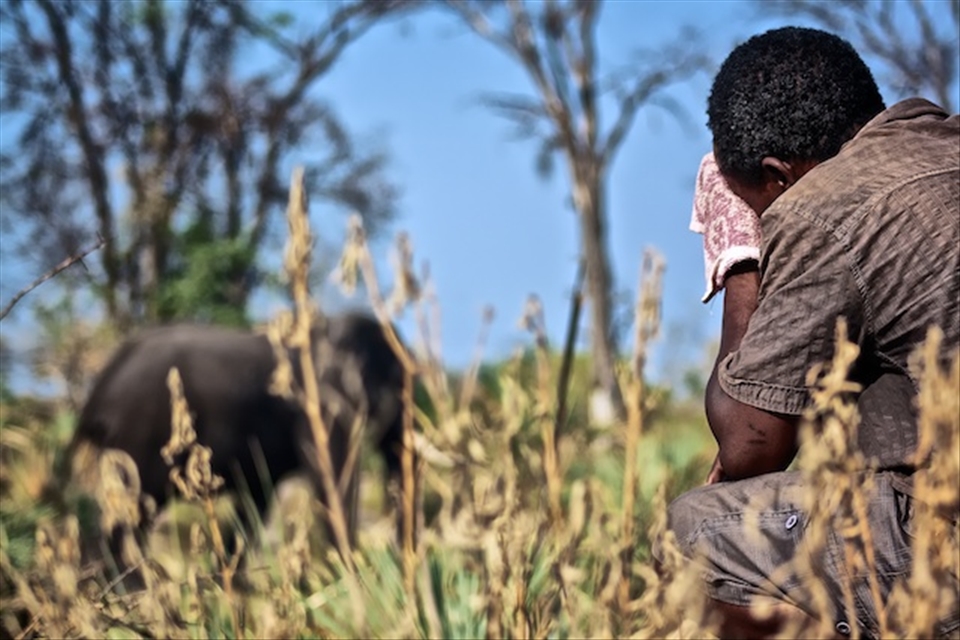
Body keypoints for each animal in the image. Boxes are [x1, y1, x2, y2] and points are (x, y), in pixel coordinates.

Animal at [59, 311, 413, 582]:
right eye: (390, 383)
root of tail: (97, 390)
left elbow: (256, 500)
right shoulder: (318, 408)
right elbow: (332, 480)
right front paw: (355, 581)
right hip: (139, 436)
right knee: (130, 515)